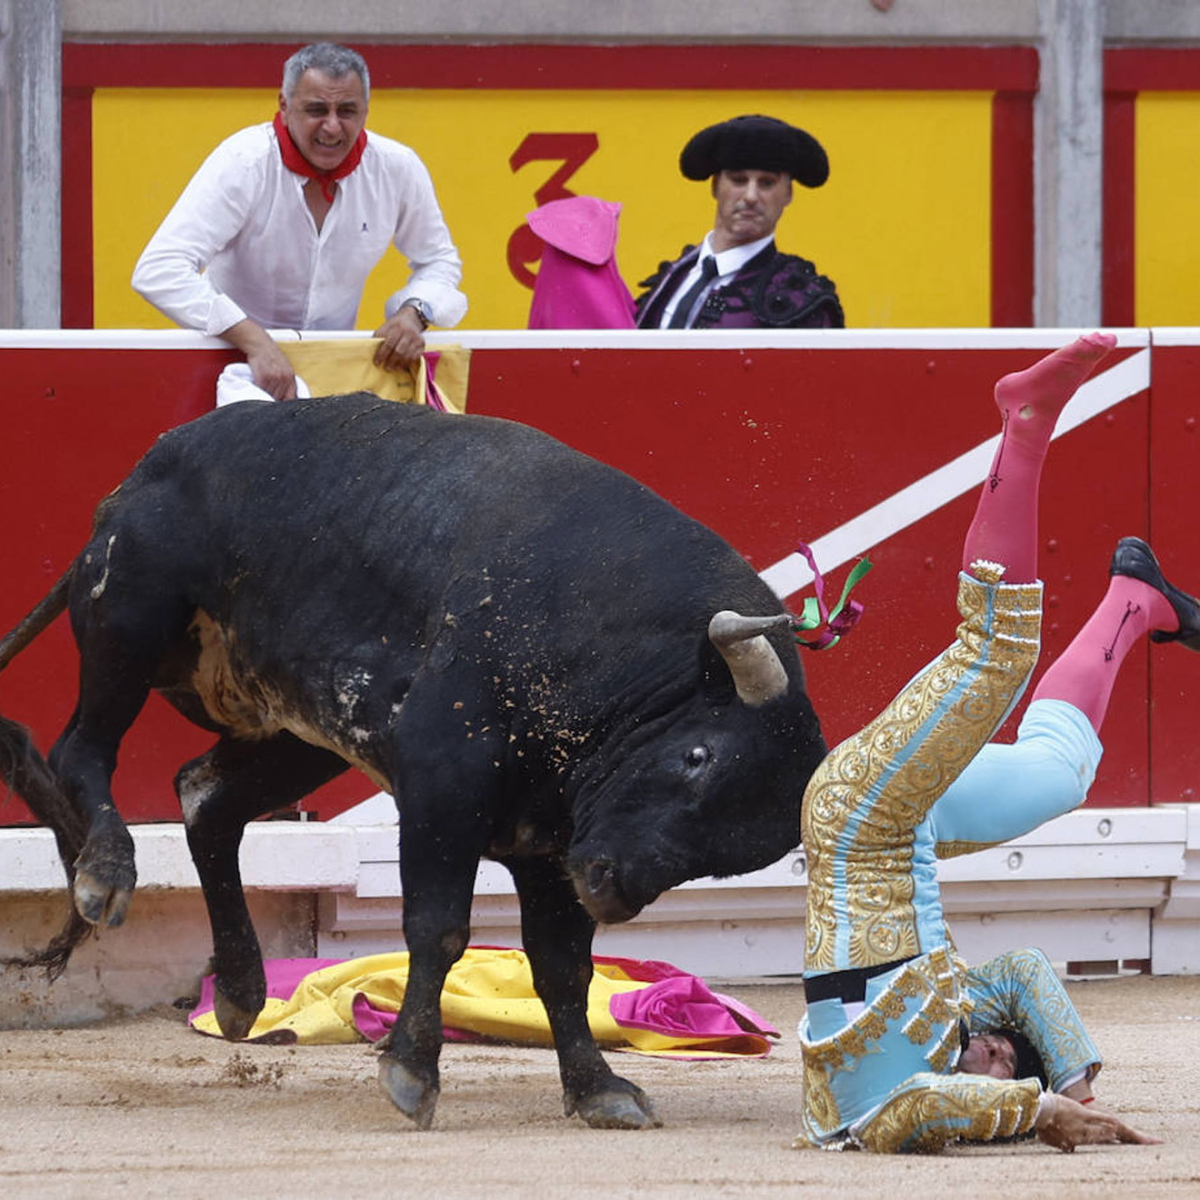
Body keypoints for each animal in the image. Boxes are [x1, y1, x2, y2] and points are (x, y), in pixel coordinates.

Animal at [0, 393, 825, 1123]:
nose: (611, 889)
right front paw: (412, 1072)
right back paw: (107, 874)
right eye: (697, 756)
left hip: (300, 735)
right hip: (131, 617)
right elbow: (440, 928)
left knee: (205, 799)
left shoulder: (554, 839)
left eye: (726, 856)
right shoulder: (443, 784)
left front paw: (598, 1090)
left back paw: (239, 991)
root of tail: (150, 465)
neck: (613, 649)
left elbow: (562, 964)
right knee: (83, 750)